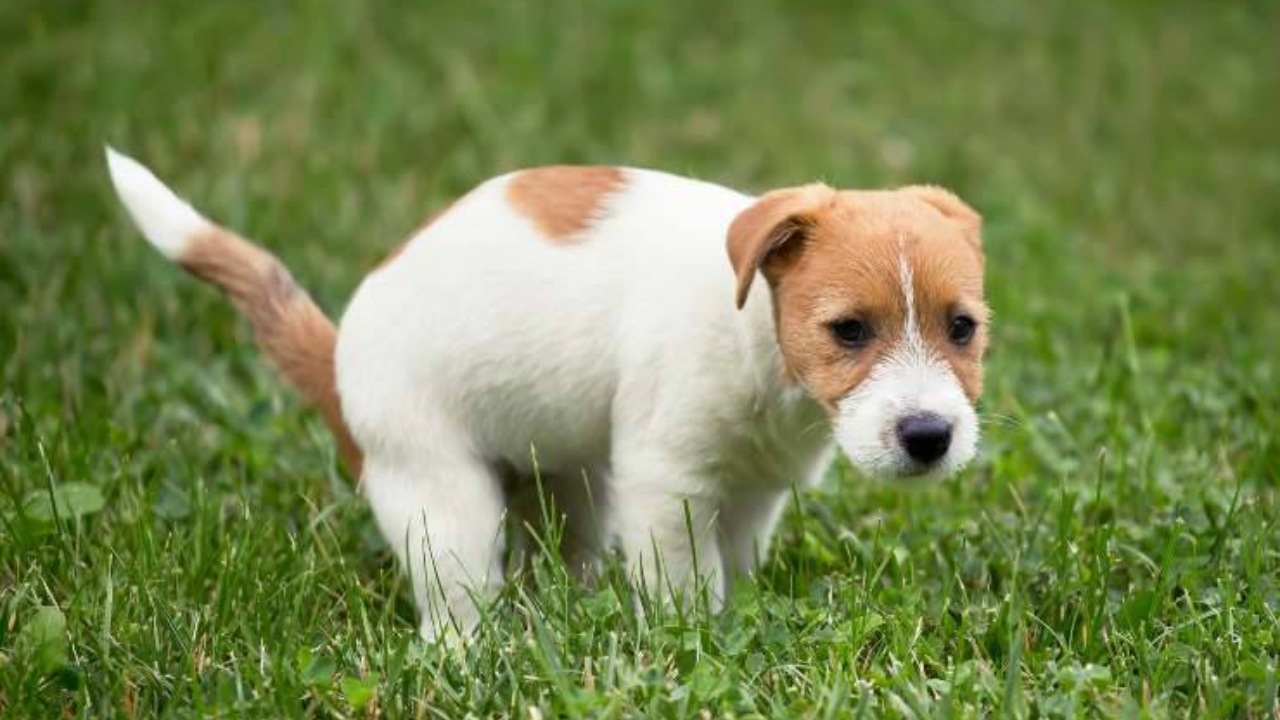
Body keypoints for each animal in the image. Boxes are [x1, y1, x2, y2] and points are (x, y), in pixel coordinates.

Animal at [110, 147, 988, 638]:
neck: (761, 341)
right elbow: (686, 584)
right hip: (444, 503)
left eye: (963, 328)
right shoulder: (666, 485)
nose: (928, 436)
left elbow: (731, 567)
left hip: (571, 485)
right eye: (848, 330)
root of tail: (336, 361)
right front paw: (690, 642)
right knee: (454, 611)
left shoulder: (753, 492)